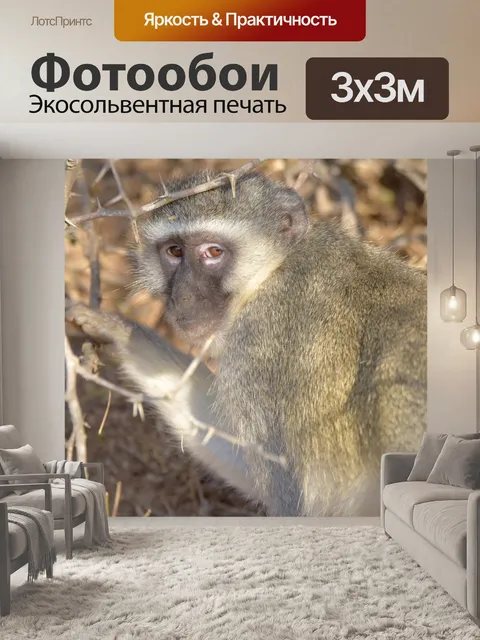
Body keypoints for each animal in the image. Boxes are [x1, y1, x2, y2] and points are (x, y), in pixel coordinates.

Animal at [67, 170, 427, 517]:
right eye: (174, 252)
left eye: (213, 252)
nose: (183, 295)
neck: (271, 273)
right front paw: (119, 330)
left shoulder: (260, 348)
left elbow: (291, 499)